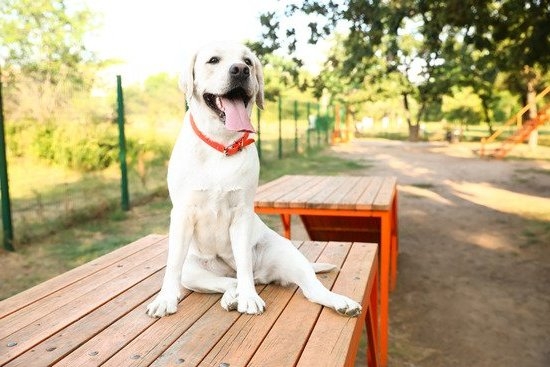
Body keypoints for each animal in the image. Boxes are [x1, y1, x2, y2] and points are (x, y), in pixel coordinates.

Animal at [147, 42, 362, 320]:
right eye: (213, 60)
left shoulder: (241, 214)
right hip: (192, 271)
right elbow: (172, 265)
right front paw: (165, 299)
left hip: (288, 255)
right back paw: (231, 297)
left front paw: (249, 298)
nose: (240, 70)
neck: (222, 145)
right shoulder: (183, 214)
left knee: (309, 288)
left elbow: (243, 263)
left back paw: (341, 303)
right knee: (229, 281)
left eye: (248, 61)